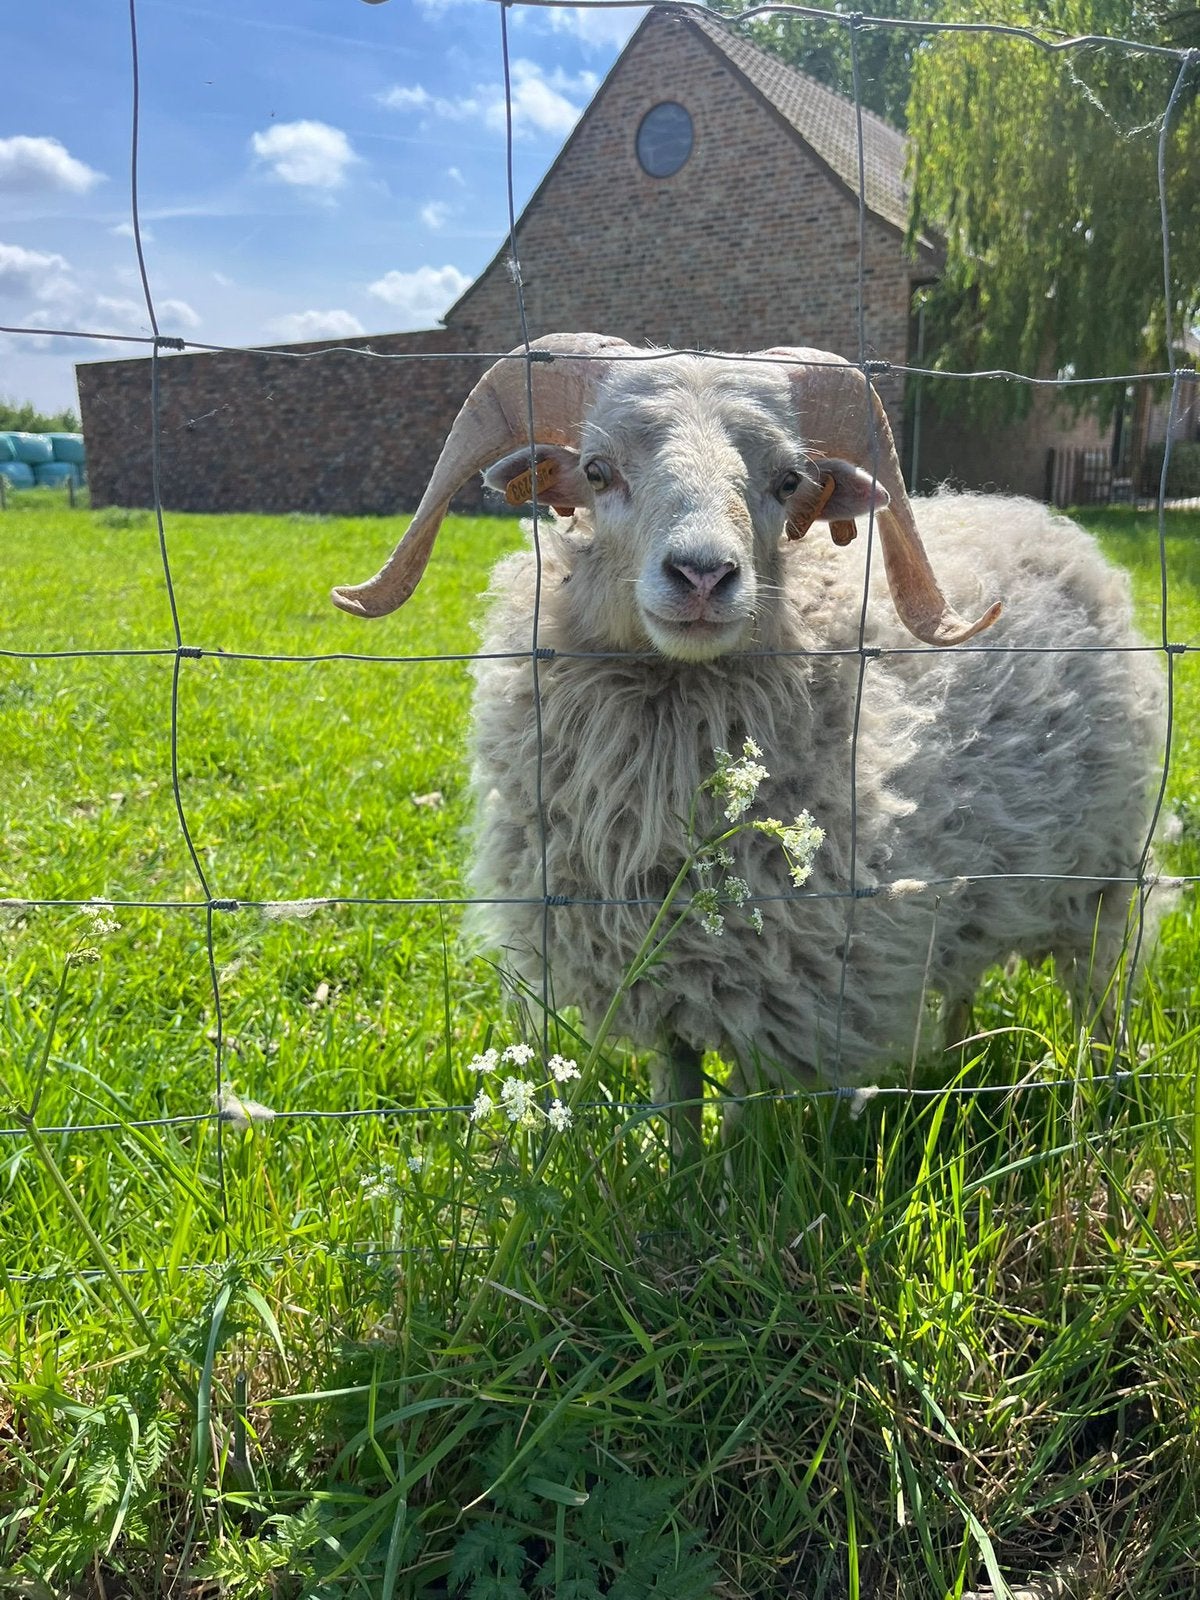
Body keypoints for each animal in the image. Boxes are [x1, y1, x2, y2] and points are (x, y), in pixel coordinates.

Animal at [331, 333, 1165, 1127]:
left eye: (787, 481)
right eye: (597, 471)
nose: (703, 575)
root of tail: (1038, 515)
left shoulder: (769, 987)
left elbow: (739, 1125)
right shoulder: (666, 977)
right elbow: (679, 1101)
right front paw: (681, 1169)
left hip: (1104, 879)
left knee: (1099, 992)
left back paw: (1102, 1093)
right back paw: (957, 1069)